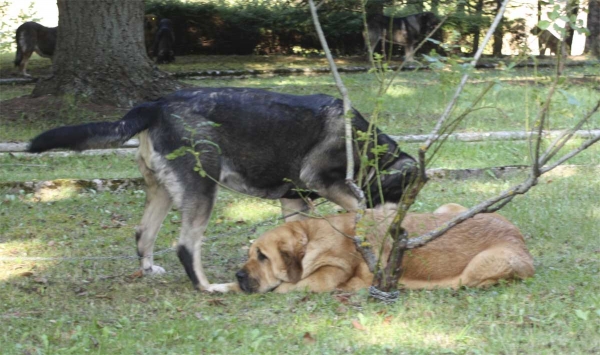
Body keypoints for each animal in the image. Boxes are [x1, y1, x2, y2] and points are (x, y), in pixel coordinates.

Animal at [28, 87, 418, 294]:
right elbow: (360, 210)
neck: (369, 145)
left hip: (162, 190)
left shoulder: (294, 200)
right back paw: (207, 287)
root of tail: (155, 106)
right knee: (185, 246)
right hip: (203, 187)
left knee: (143, 233)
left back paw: (149, 270)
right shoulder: (325, 182)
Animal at [229, 204, 536, 294]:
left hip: (481, 266)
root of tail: (518, 236)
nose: (239, 275)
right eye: (251, 255)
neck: (311, 235)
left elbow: (283, 287)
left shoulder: (323, 277)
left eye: (263, 257)